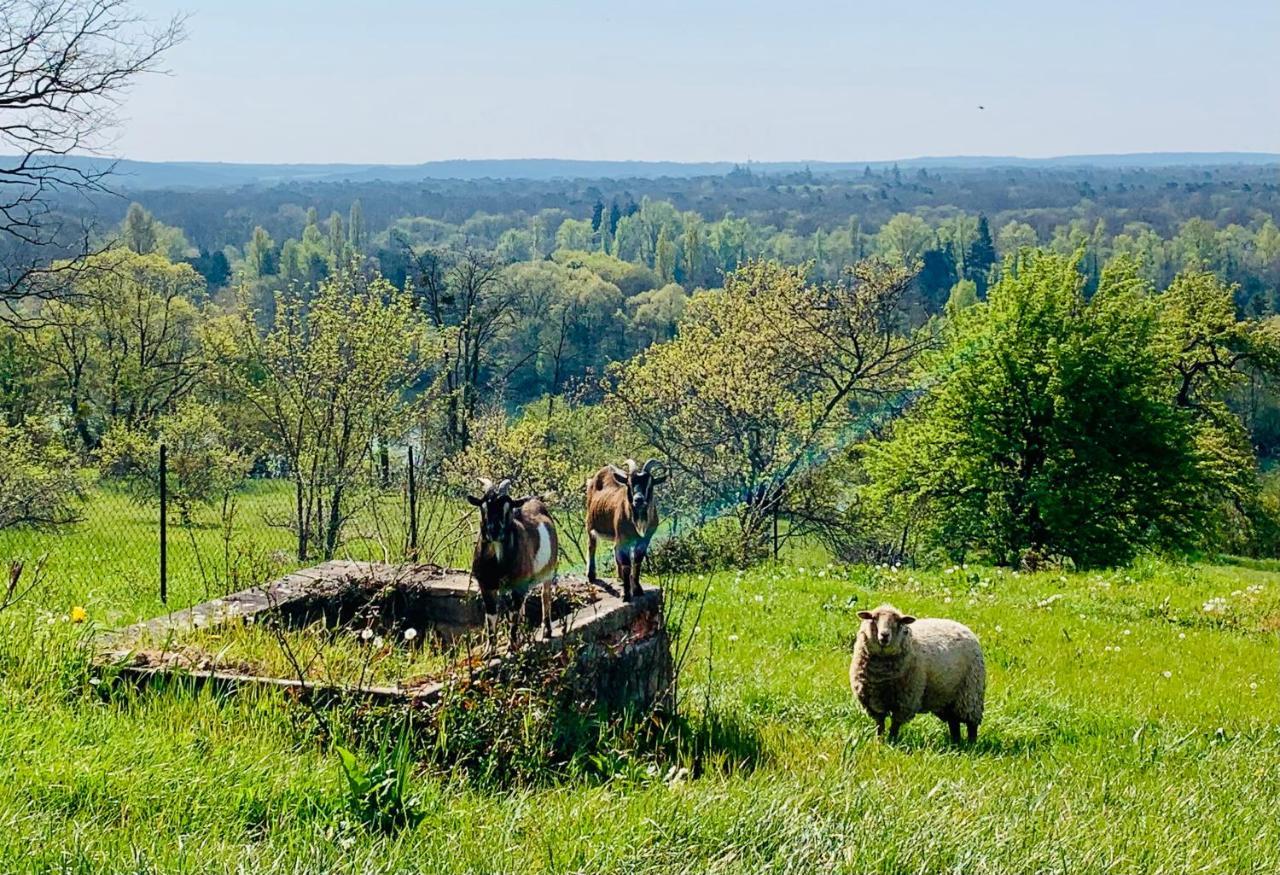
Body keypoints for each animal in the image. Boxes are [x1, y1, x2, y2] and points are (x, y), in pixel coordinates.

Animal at [465, 478, 555, 649]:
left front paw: (512, 646)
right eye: (483, 507)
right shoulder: (485, 584)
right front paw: (490, 649)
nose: (493, 531)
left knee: (545, 596)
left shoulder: (519, 583)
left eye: (508, 507)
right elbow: (492, 615)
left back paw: (547, 630)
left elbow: (513, 613)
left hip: (549, 569)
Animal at [586, 457, 670, 601]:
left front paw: (637, 589)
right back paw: (591, 575)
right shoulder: (623, 537)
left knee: (615, 549)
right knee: (592, 546)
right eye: (629, 483)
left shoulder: (645, 539)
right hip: (590, 524)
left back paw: (619, 577)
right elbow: (626, 564)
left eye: (650, 483)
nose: (638, 500)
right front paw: (626, 594)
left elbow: (637, 561)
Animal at [849, 603, 988, 741]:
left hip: (971, 692)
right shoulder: (873, 701)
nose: (884, 635)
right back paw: (956, 742)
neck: (881, 674)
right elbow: (880, 724)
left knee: (971, 724)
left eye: (898, 622)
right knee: (954, 722)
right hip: (947, 698)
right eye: (874, 618)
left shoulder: (906, 701)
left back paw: (971, 743)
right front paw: (879, 741)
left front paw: (892, 741)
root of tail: (964, 628)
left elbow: (895, 725)